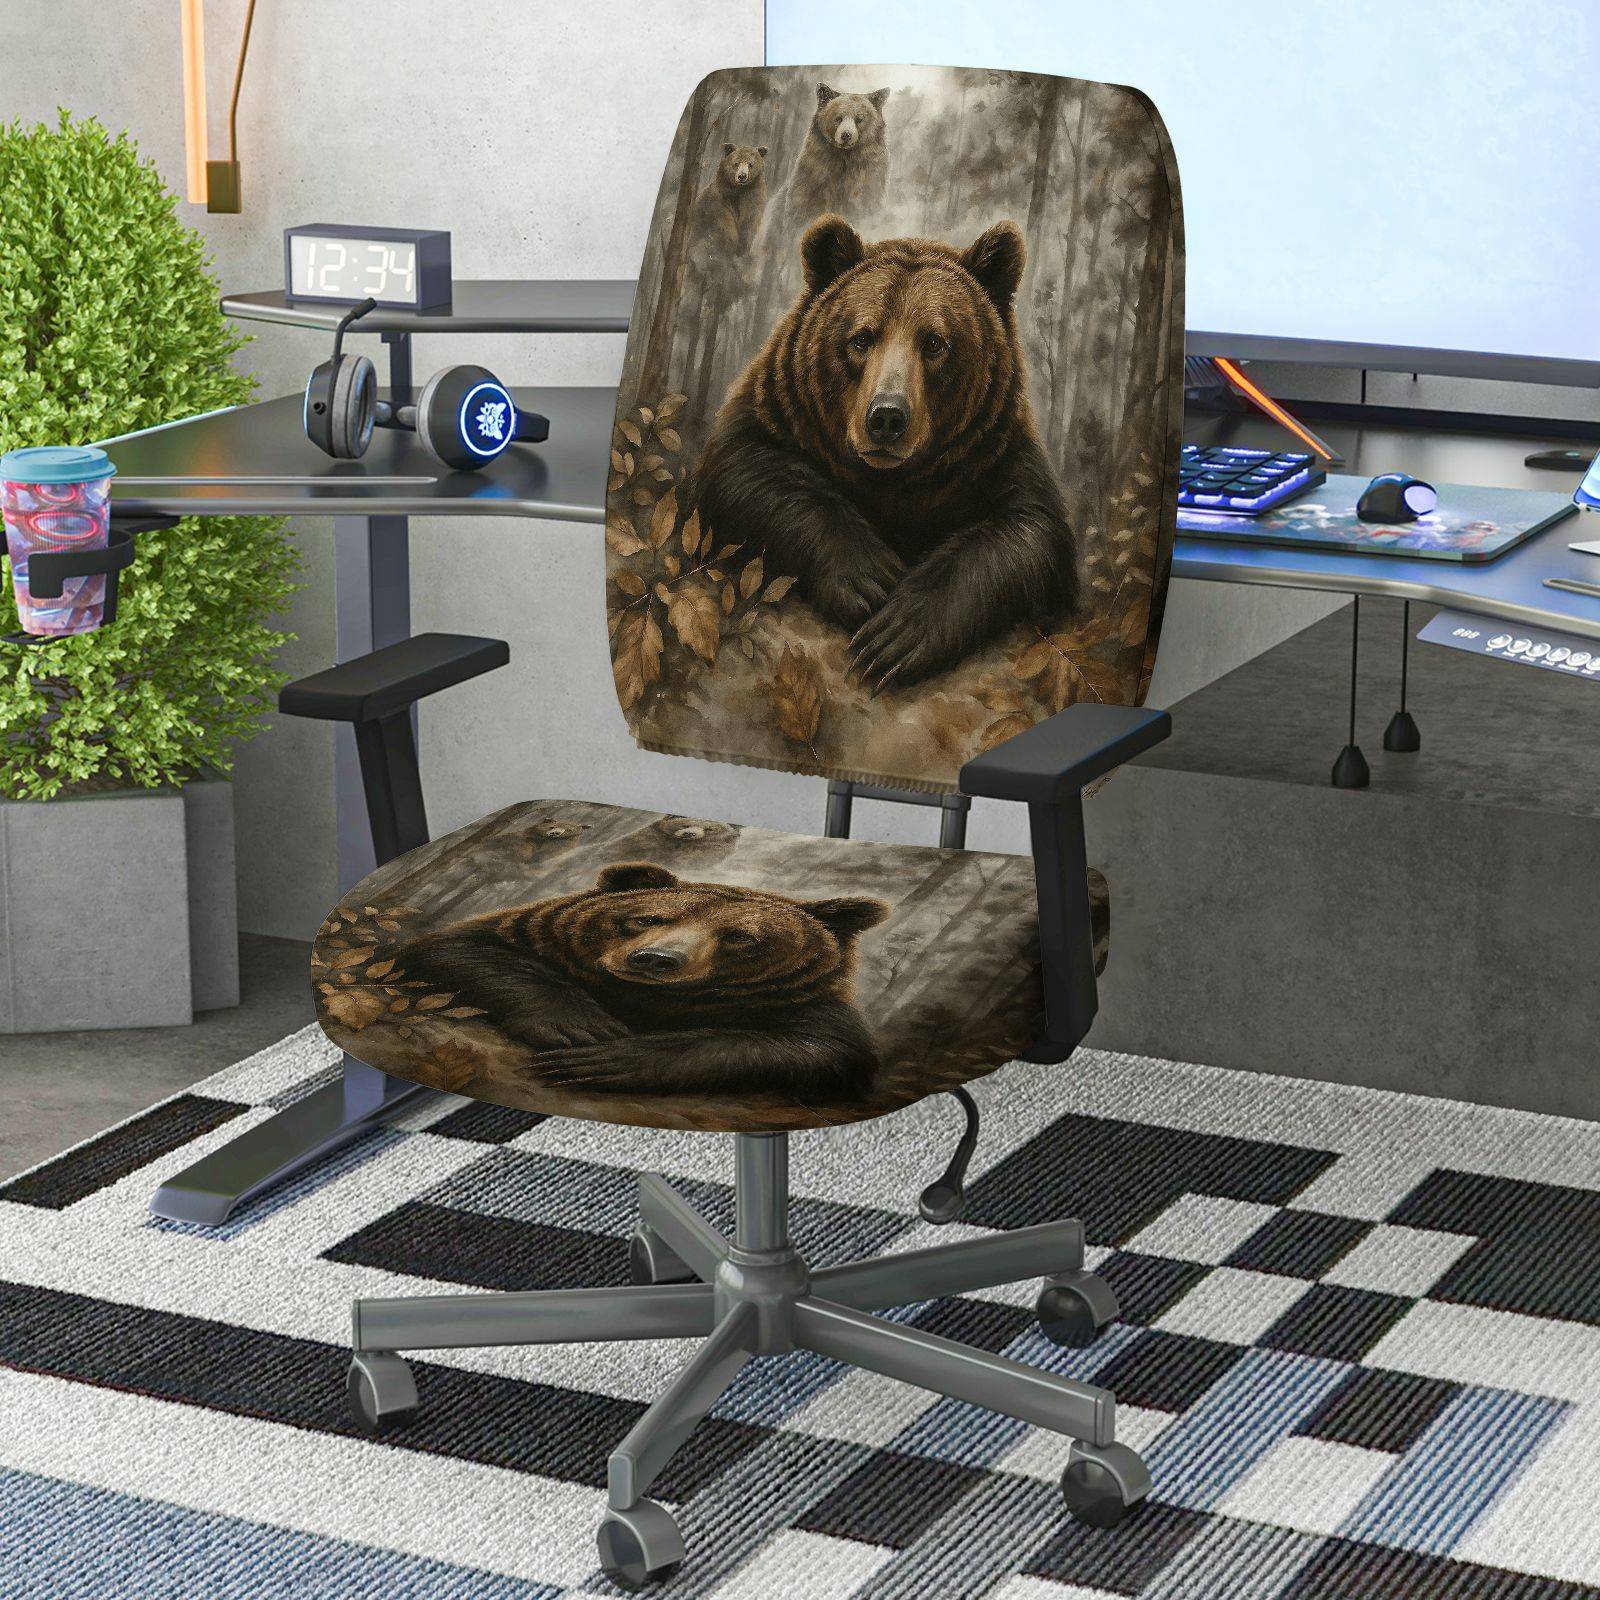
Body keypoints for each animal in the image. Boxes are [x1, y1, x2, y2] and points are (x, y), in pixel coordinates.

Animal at [389, 862, 890, 1104]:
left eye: (739, 937)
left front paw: (605, 1059)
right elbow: (456, 950)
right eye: (648, 918)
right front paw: (580, 1027)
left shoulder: (809, 1005)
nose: (655, 959)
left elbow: (821, 1049)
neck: (651, 1000)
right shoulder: (527, 935)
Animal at [693, 214, 1080, 691]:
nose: (887, 417)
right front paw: (869, 580)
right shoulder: (781, 411)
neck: (893, 479)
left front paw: (897, 635)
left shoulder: (993, 453)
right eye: (862, 337)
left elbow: (1032, 531)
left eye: (934, 342)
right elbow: (744, 471)